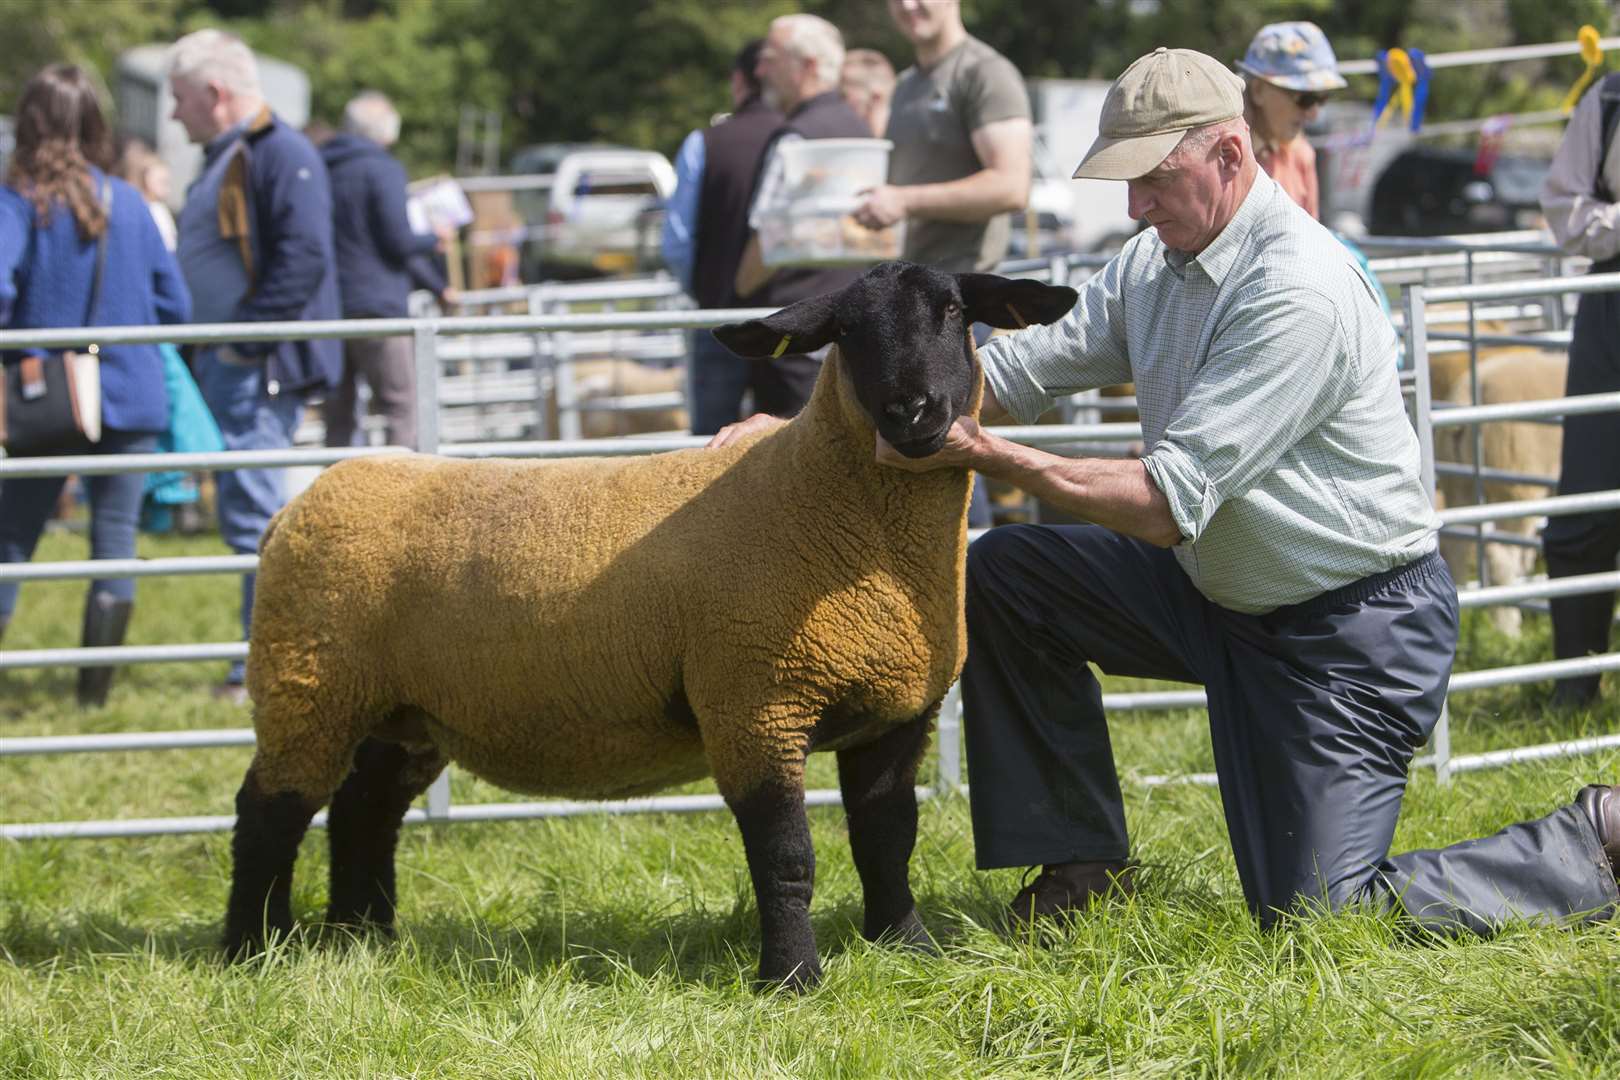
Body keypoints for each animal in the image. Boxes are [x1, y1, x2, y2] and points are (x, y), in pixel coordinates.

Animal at [218, 262, 1075, 990]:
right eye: (846, 331)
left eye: (956, 312)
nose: (912, 411)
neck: (828, 505)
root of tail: (306, 501)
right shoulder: (755, 704)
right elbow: (786, 858)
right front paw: (792, 980)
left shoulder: (897, 713)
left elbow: (888, 839)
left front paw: (907, 948)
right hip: (307, 683)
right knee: (269, 813)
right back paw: (251, 950)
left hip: (400, 713)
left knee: (363, 811)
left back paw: (359, 939)